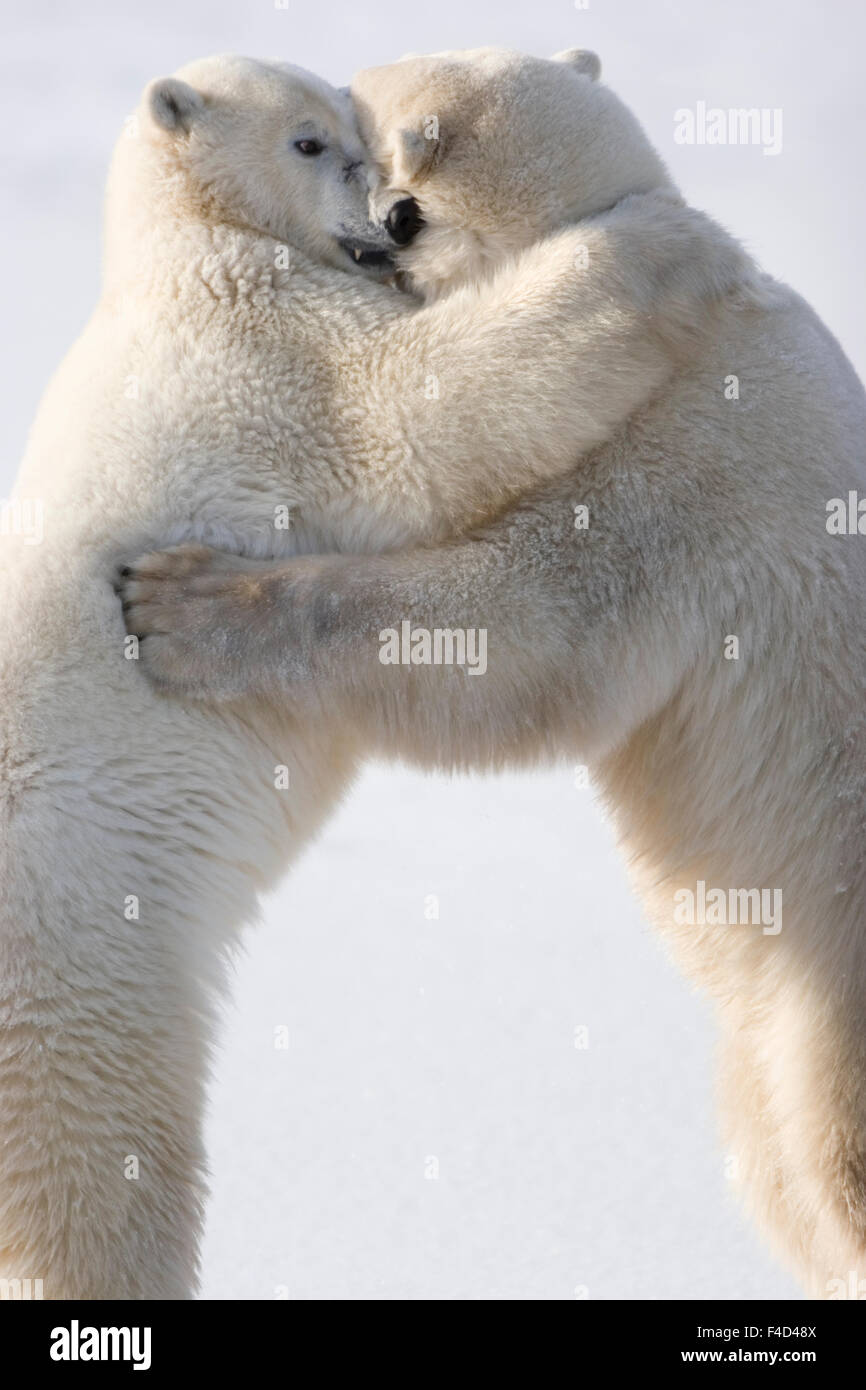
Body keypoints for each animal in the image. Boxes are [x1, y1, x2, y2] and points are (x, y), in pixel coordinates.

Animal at [0, 48, 745, 1295]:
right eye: (311, 141)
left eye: (361, 127)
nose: (382, 212)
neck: (182, 244)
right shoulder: (262, 345)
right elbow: (411, 407)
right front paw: (671, 240)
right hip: (81, 943)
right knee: (102, 1161)